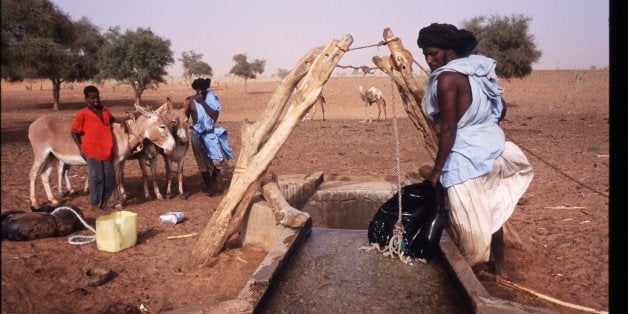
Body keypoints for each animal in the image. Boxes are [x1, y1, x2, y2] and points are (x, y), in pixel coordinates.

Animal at [27, 104, 175, 209]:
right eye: (162, 126)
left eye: (170, 125)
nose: (173, 146)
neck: (123, 135)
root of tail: (34, 123)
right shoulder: (113, 161)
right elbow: (115, 180)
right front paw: (118, 202)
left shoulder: (120, 161)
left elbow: (119, 179)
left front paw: (120, 199)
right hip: (41, 153)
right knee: (33, 173)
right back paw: (35, 202)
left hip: (51, 155)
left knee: (44, 175)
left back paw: (53, 200)